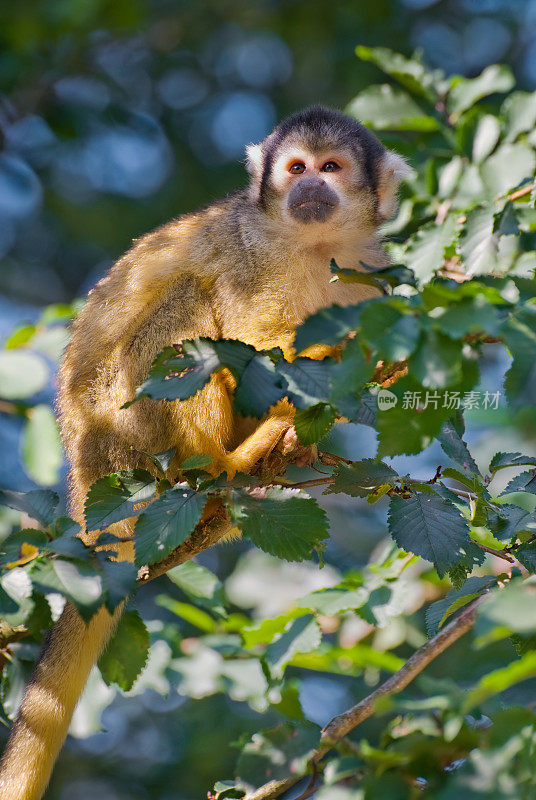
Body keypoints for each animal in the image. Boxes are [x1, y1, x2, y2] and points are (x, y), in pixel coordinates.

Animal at [0, 106, 408, 800]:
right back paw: (224, 463)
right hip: (123, 433)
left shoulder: (365, 269)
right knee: (189, 306)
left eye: (331, 168)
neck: (314, 246)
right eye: (295, 167)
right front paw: (330, 358)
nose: (307, 188)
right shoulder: (254, 252)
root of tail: (84, 481)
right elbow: (254, 341)